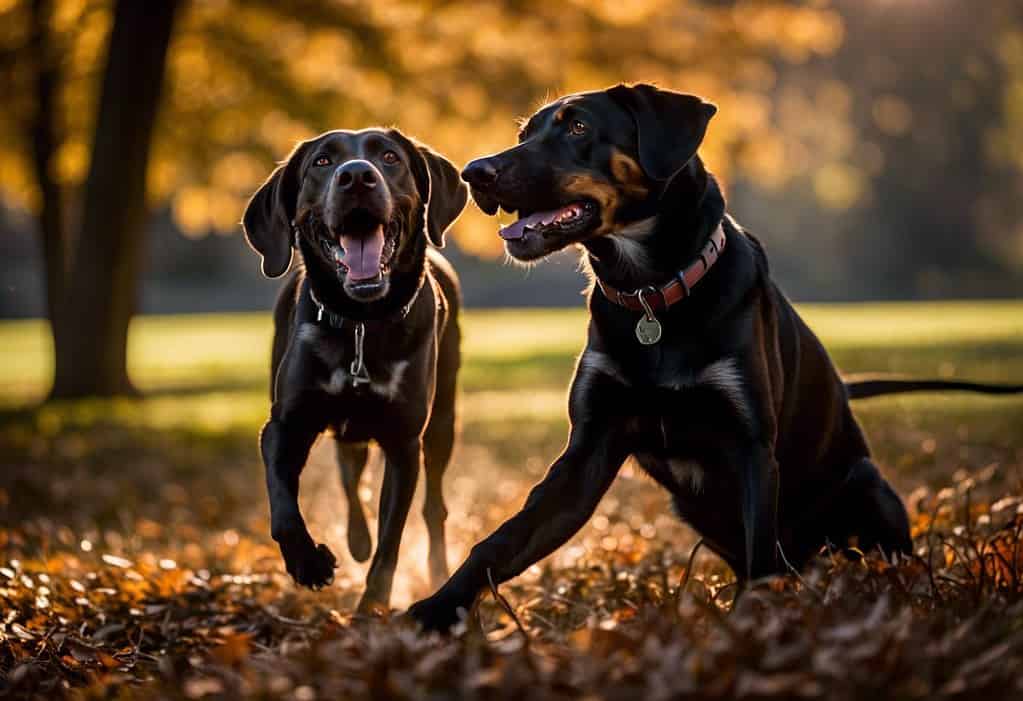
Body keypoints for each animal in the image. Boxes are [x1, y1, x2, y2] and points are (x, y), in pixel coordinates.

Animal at [245, 128, 468, 609]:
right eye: (322, 162)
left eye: (389, 157)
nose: (357, 177)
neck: (361, 324)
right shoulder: (286, 424)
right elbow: (283, 506)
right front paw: (309, 564)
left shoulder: (404, 442)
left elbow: (391, 542)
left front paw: (370, 611)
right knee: (350, 475)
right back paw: (355, 539)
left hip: (442, 420)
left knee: (433, 505)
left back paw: (437, 570)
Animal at [407, 81, 1023, 630]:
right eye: (525, 133)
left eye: (578, 127)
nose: (475, 172)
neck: (651, 292)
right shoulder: (588, 451)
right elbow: (499, 544)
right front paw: (433, 612)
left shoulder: (750, 444)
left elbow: (759, 558)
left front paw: (748, 629)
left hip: (868, 488)